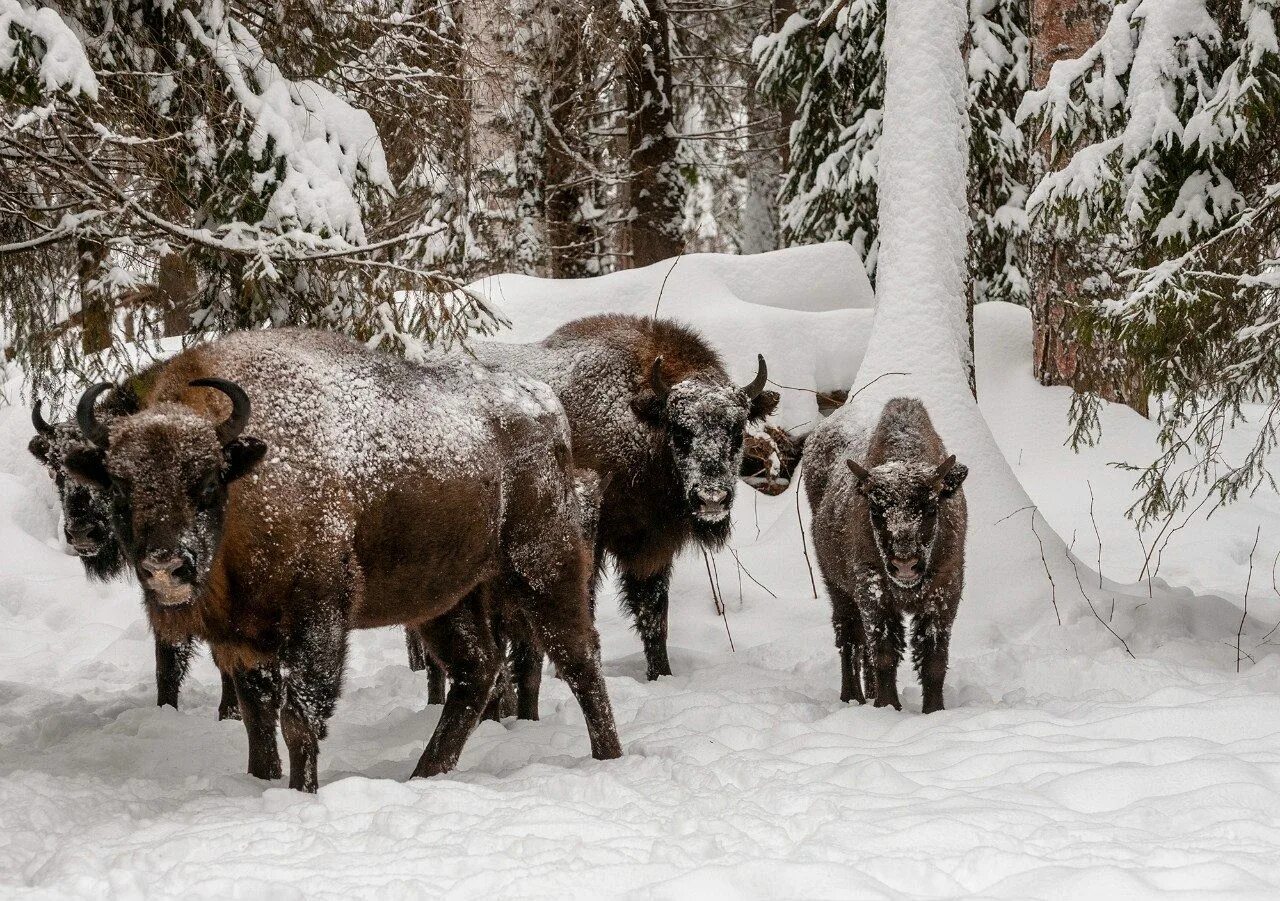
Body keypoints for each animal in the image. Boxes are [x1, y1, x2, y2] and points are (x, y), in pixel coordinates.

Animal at [63, 327, 619, 793]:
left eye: (206, 483)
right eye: (118, 489)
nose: (165, 567)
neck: (253, 477)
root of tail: (546, 406)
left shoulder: (318, 619)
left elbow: (298, 718)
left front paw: (300, 792)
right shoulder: (243, 640)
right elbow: (257, 717)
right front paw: (262, 783)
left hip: (541, 565)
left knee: (578, 657)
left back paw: (608, 757)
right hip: (444, 598)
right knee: (475, 670)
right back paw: (424, 774)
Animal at [476, 313, 773, 680]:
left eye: (737, 430)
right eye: (680, 430)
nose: (712, 499)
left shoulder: (653, 550)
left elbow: (653, 617)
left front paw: (661, 674)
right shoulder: (591, 540)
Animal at [803, 396, 962, 716]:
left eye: (931, 507)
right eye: (875, 510)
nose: (905, 564)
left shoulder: (945, 591)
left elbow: (933, 659)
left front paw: (934, 711)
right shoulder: (873, 592)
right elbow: (885, 653)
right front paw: (888, 706)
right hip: (837, 588)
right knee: (850, 638)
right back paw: (852, 696)